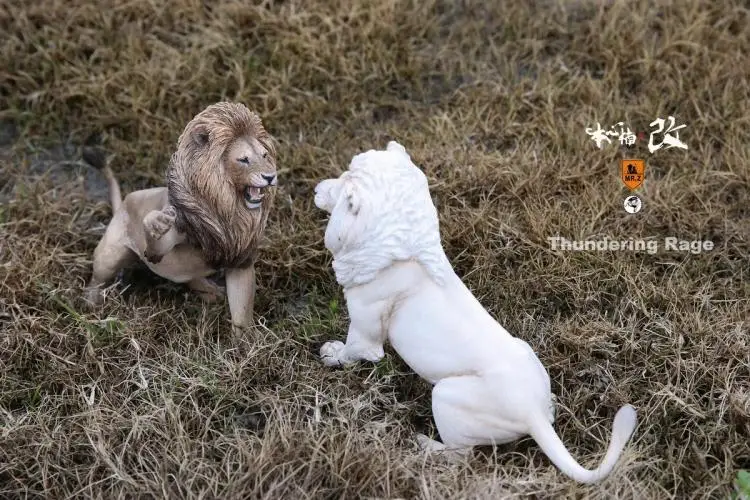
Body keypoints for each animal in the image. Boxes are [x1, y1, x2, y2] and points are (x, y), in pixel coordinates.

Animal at [83, 102, 278, 331]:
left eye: (264, 155)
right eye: (243, 160)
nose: (270, 176)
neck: (229, 210)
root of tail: (122, 204)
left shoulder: (241, 261)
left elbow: (241, 316)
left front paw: (247, 339)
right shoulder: (166, 243)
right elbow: (155, 244)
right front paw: (158, 223)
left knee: (186, 277)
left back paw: (210, 292)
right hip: (110, 254)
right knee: (97, 279)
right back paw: (91, 305)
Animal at [313, 141, 637, 484]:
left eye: (342, 183)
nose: (317, 188)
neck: (406, 245)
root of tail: (532, 414)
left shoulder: (366, 331)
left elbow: (353, 350)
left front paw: (332, 355)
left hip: (445, 395)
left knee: (461, 457)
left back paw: (424, 445)